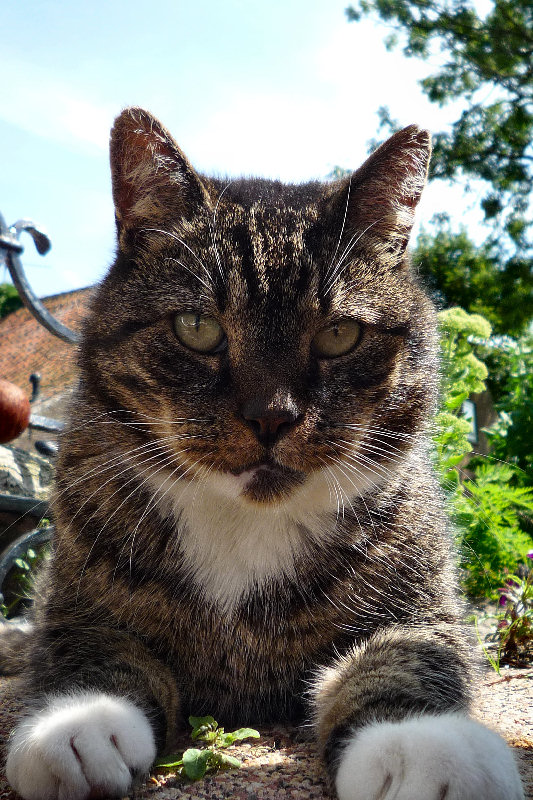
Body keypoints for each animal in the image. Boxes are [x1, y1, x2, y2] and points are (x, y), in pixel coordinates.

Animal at [1, 108, 524, 800]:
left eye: (339, 334)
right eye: (197, 329)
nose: (271, 416)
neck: (244, 521)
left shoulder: (424, 609)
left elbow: (413, 657)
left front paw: (427, 747)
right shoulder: (75, 603)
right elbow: (87, 651)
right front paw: (78, 728)